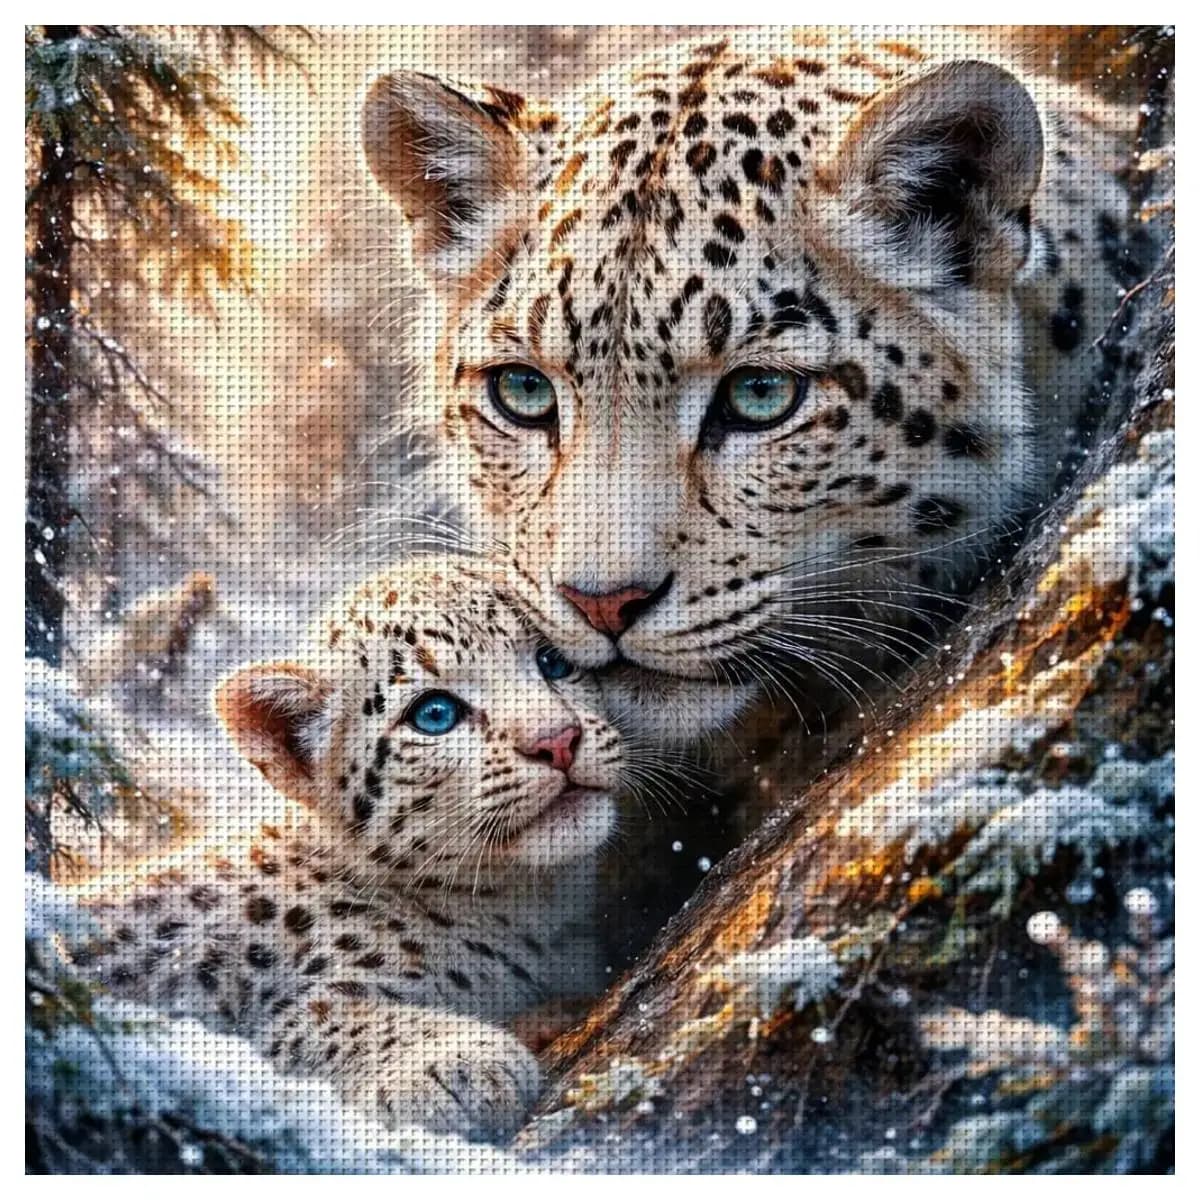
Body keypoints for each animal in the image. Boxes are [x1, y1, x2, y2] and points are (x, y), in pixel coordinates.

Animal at [57, 557, 624, 1140]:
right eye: (434, 714)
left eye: (553, 661)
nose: (558, 740)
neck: (531, 908)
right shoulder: (241, 1005)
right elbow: (319, 1020)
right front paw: (452, 1062)